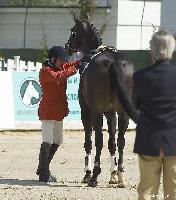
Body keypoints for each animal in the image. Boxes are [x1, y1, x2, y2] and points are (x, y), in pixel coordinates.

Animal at [65, 16, 138, 188]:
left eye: (73, 31)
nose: (67, 46)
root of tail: (114, 62)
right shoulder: (111, 112)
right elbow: (112, 142)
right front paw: (113, 174)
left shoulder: (86, 111)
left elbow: (89, 141)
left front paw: (88, 173)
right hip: (123, 113)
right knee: (120, 141)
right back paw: (121, 176)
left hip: (96, 112)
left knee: (98, 140)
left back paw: (94, 176)